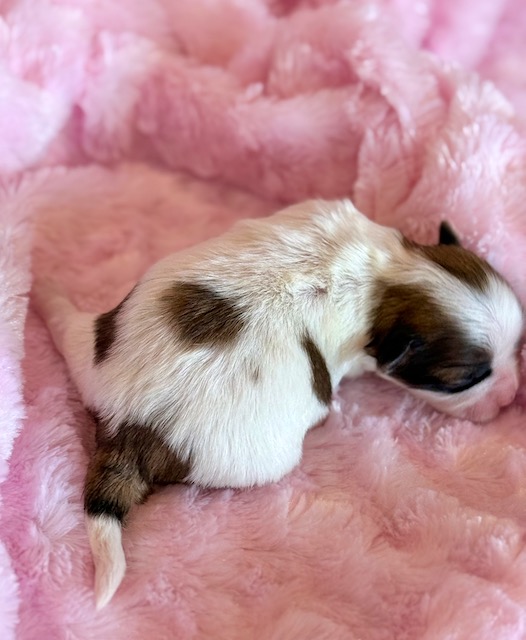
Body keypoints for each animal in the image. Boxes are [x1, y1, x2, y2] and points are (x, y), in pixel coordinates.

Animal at [33, 199, 524, 609]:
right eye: (466, 379)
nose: (510, 395)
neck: (388, 280)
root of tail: (130, 424)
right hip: (258, 455)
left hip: (104, 337)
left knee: (73, 331)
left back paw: (48, 295)